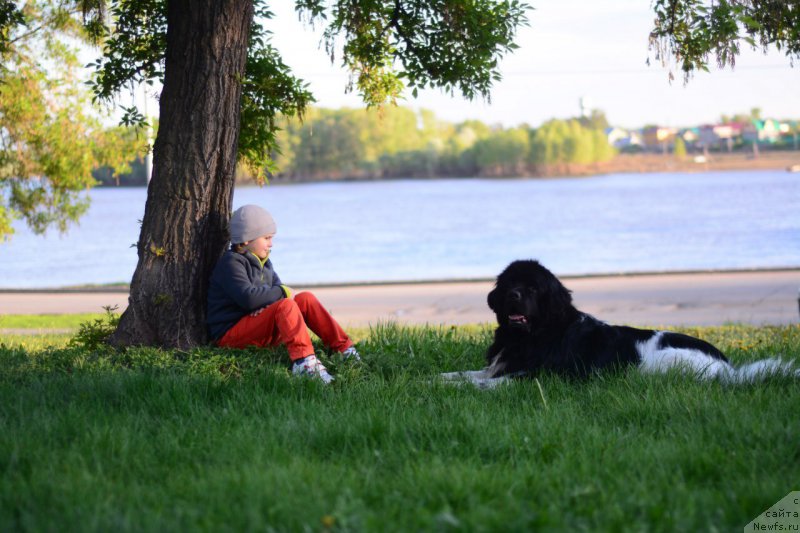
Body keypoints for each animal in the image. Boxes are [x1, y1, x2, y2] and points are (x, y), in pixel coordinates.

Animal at [440, 258, 796, 386]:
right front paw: (435, 380)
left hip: (659, 362)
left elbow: (483, 383)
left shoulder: (535, 375)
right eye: (509, 283)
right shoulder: (499, 366)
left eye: (533, 288)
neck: (533, 335)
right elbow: (463, 374)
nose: (513, 295)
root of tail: (728, 368)